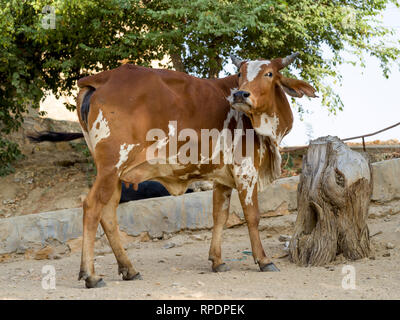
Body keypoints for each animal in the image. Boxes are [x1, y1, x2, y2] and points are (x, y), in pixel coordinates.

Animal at [28, 52, 316, 288]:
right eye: (240, 75)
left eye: (269, 74)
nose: (240, 95)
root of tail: (101, 77)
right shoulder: (245, 170)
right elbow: (253, 216)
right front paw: (264, 260)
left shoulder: (223, 176)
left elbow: (219, 216)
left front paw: (217, 261)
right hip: (112, 164)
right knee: (91, 207)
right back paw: (91, 275)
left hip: (115, 173)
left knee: (108, 213)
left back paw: (129, 269)